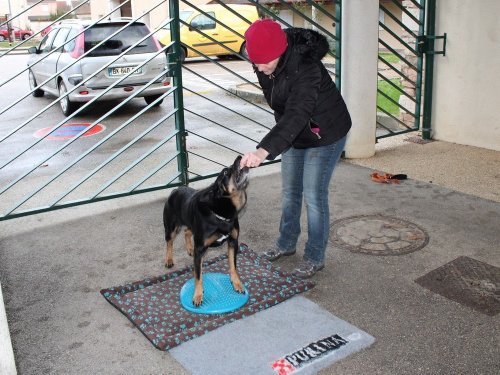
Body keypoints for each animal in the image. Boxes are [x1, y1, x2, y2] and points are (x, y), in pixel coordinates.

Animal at [163, 157, 250, 306]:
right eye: (226, 172)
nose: (239, 157)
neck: (222, 212)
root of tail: (175, 190)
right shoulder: (200, 249)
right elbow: (198, 275)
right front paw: (198, 296)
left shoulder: (233, 242)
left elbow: (233, 266)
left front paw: (237, 284)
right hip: (171, 227)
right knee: (169, 242)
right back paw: (169, 260)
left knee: (187, 231)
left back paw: (189, 249)